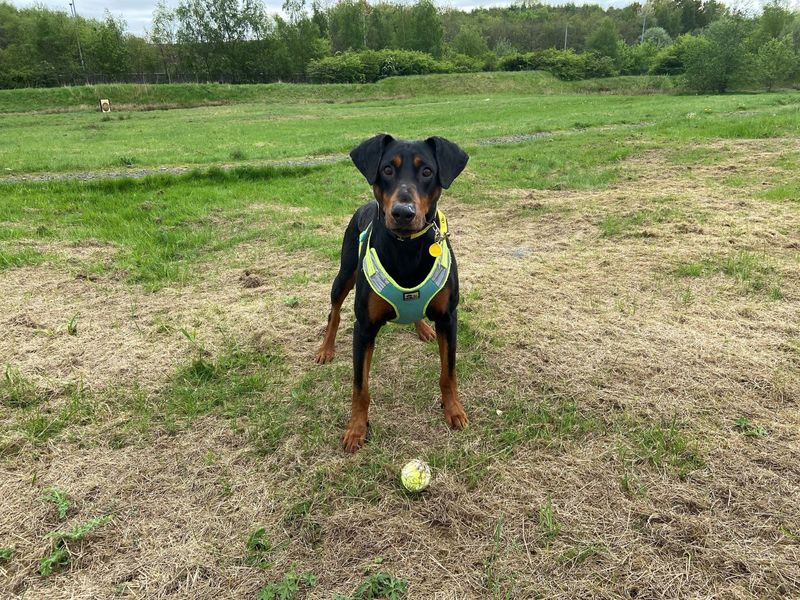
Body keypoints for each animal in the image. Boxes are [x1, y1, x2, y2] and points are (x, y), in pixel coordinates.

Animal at [316, 134, 472, 452]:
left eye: (427, 171)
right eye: (387, 169)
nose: (402, 213)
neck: (406, 247)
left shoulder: (449, 317)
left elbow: (448, 373)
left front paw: (454, 410)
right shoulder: (364, 327)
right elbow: (360, 386)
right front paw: (356, 429)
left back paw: (423, 328)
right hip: (344, 274)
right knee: (334, 312)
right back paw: (326, 348)